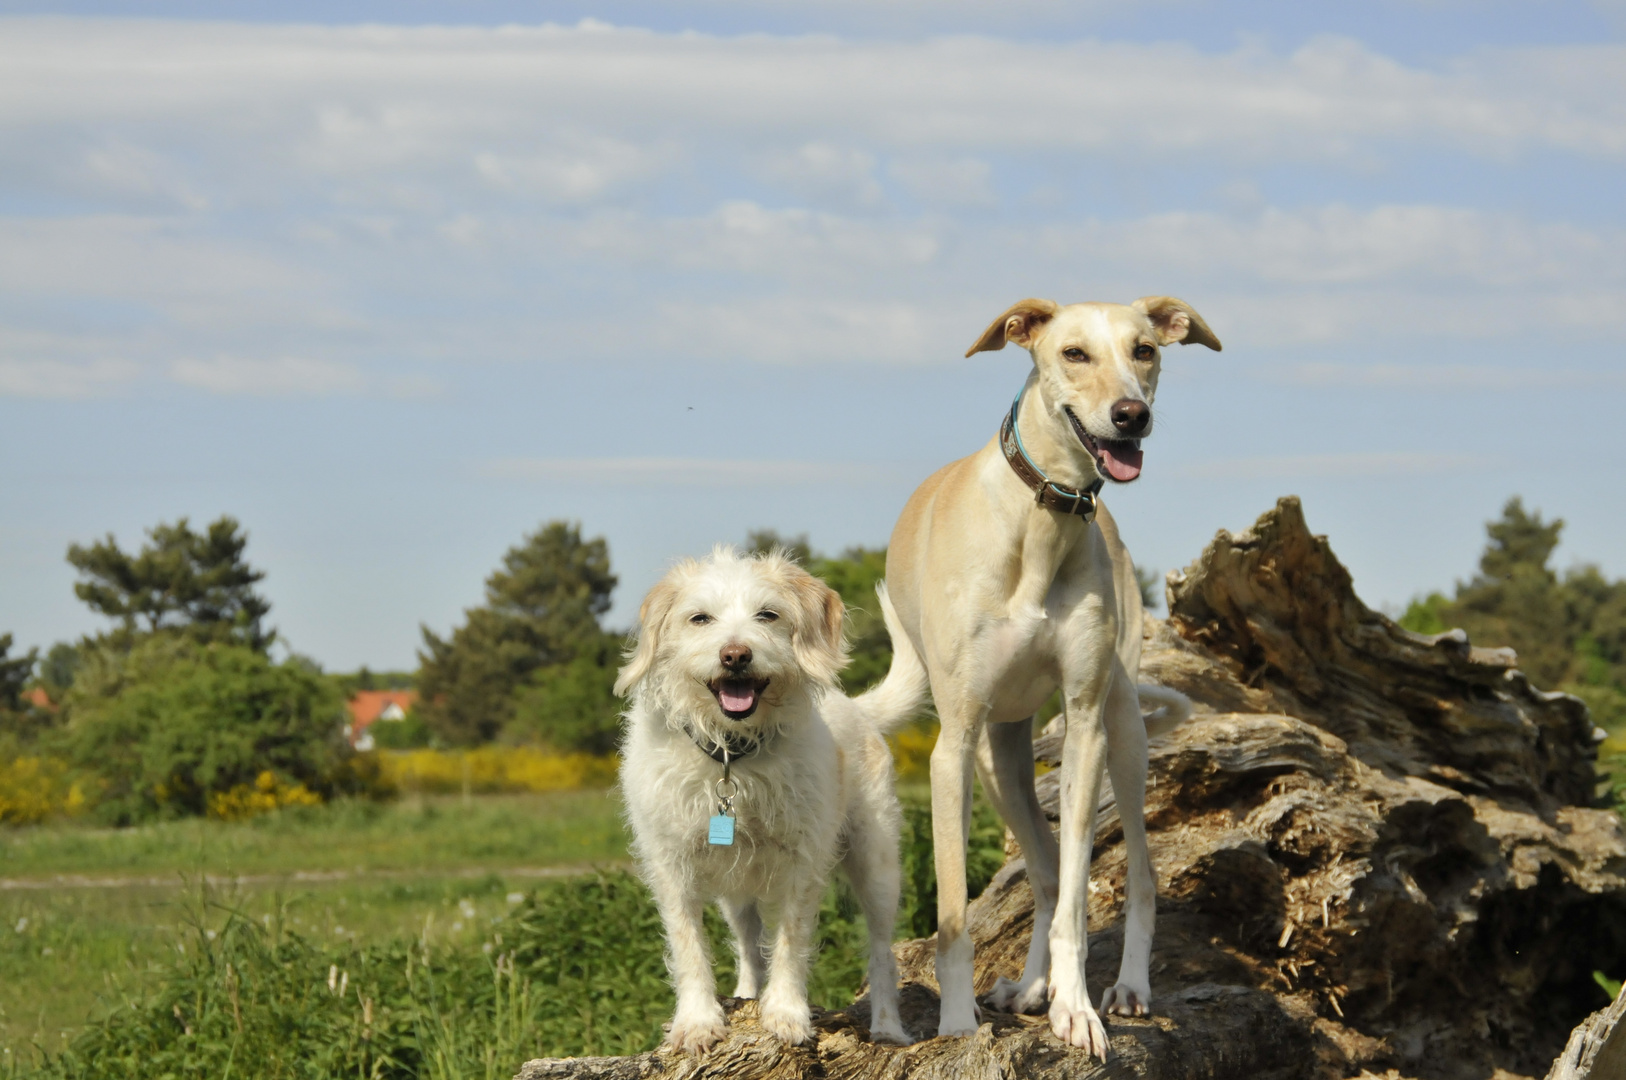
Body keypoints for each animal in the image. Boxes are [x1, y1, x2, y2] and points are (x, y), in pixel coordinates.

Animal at [614, 543, 930, 1047]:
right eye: (699, 618)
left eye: (768, 614)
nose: (735, 655)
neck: (732, 756)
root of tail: (857, 708)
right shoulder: (672, 866)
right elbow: (689, 946)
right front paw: (698, 1020)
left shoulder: (804, 862)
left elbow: (791, 941)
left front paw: (785, 1012)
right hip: (735, 894)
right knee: (747, 944)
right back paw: (745, 993)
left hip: (877, 865)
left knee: (882, 951)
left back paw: (887, 1027)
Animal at [878, 299, 1222, 1060]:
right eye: (1073, 353)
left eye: (1145, 349)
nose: (1130, 415)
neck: (1043, 519)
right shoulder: (953, 746)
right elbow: (955, 913)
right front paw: (957, 1023)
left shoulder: (1085, 725)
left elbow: (1075, 896)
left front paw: (1077, 1009)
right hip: (996, 756)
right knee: (1039, 869)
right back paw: (1030, 989)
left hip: (1122, 735)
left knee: (1134, 875)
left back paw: (1125, 988)